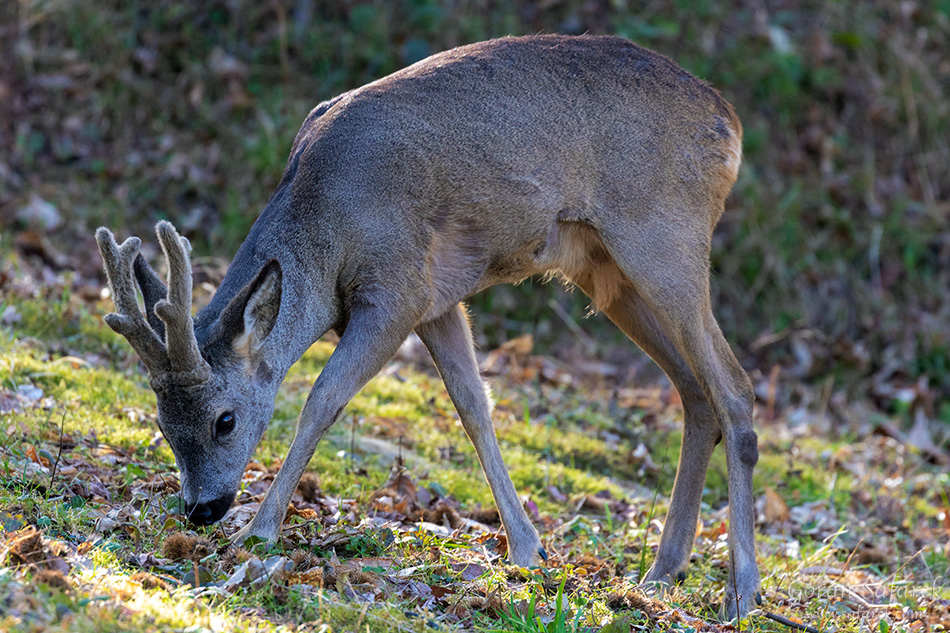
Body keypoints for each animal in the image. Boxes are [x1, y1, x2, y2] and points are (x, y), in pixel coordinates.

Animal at [96, 33, 764, 616]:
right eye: (162, 422)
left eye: (225, 421)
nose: (201, 510)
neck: (327, 226)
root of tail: (730, 122)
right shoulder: (440, 302)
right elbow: (473, 405)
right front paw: (528, 550)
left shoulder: (397, 289)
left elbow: (322, 399)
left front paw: (258, 531)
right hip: (606, 271)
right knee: (695, 393)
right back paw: (662, 572)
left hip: (664, 236)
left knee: (734, 387)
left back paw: (741, 593)